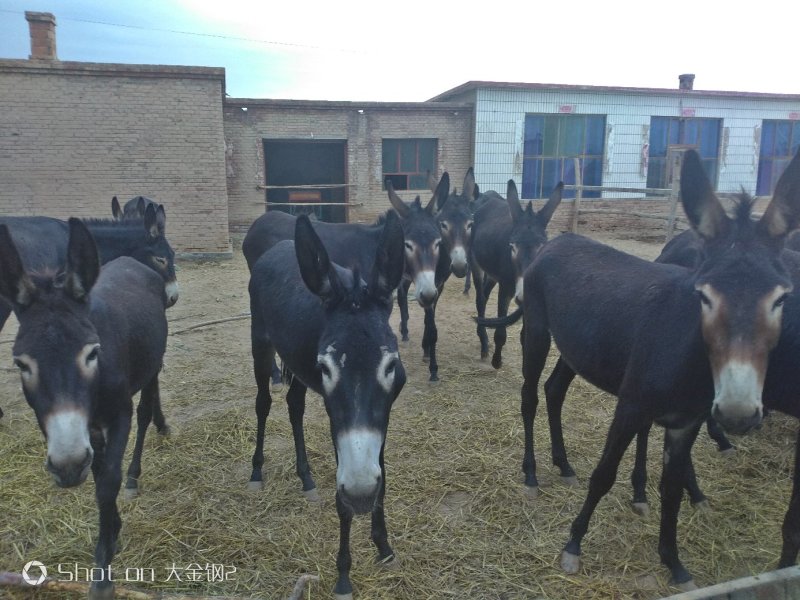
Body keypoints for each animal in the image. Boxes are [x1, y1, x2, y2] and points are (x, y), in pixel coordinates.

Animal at [0, 219, 169, 600]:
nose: (67, 466)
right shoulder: (81, 429)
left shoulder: (117, 415)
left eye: (92, 353)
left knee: (146, 409)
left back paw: (137, 470)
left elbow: (108, 482)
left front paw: (103, 573)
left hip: (151, 366)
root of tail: (129, 261)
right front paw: (112, 530)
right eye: (21, 364)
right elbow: (97, 474)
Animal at [247, 213, 405, 599]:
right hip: (261, 342)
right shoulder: (340, 425)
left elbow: (383, 477)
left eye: (390, 365)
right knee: (263, 403)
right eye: (326, 368)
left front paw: (383, 546)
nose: (361, 493)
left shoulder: (382, 418)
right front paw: (344, 577)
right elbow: (343, 501)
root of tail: (280, 246)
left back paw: (305, 478)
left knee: (294, 406)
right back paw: (256, 472)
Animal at [469, 180, 563, 368]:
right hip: (476, 264)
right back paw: (484, 343)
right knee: (480, 298)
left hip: (493, 274)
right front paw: (497, 362)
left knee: (485, 293)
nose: (523, 295)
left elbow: (525, 337)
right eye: (512, 246)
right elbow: (500, 334)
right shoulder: (505, 289)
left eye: (543, 246)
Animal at [501, 148, 800, 589]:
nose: (739, 413)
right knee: (529, 396)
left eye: (780, 298)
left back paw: (564, 465)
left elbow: (671, 490)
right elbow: (604, 474)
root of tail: (559, 241)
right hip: (536, 330)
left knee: (554, 389)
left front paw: (674, 564)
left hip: (577, 348)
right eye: (705, 295)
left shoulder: (684, 424)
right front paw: (573, 546)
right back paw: (532, 476)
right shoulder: (630, 407)